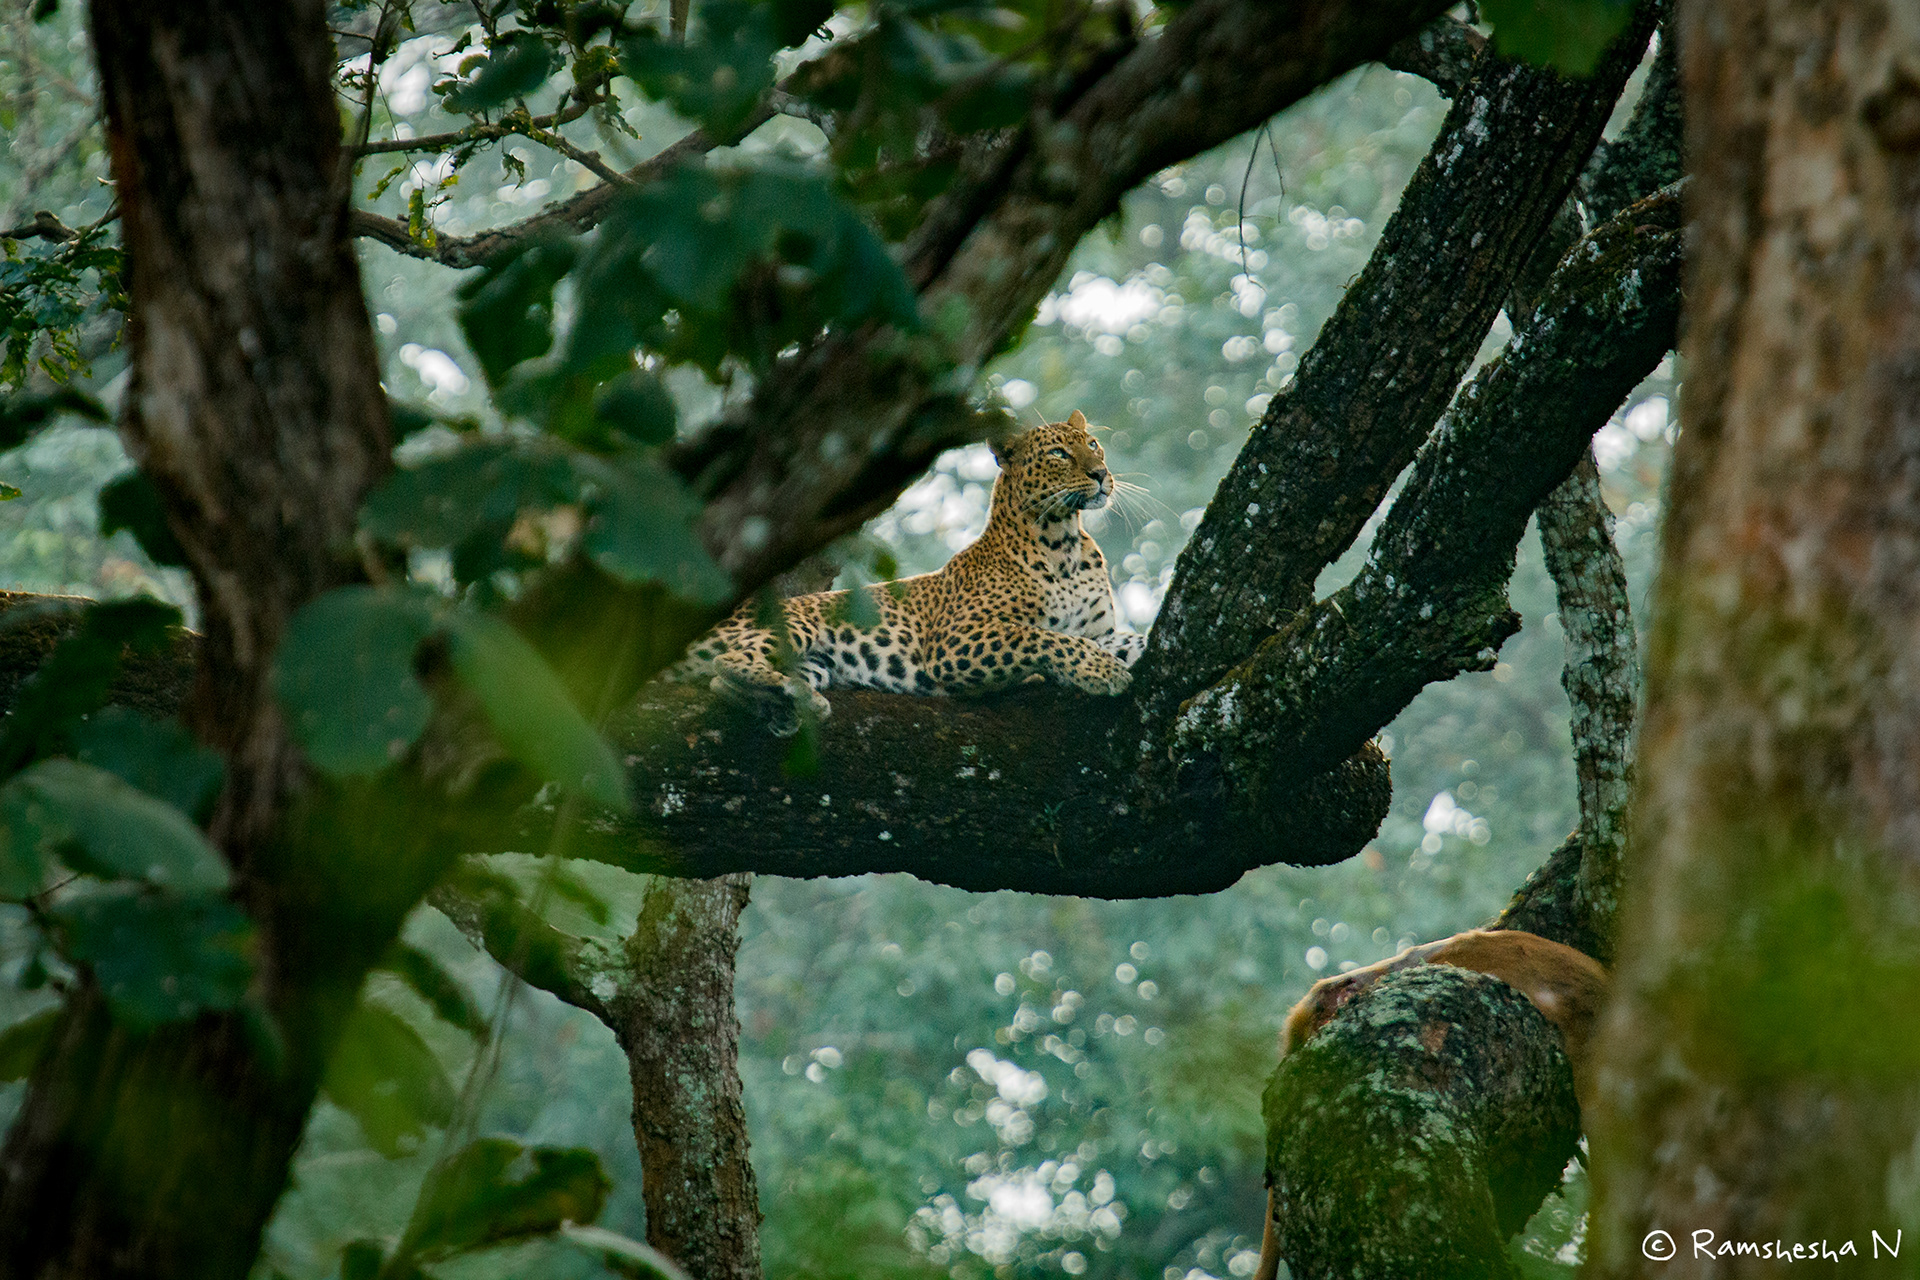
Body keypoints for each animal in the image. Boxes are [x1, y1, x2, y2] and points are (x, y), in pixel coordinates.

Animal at [673, 410, 1148, 734]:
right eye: (1058, 453)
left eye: (1093, 444)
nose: (1101, 474)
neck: (1062, 543)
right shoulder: (957, 638)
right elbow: (1044, 637)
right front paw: (1102, 672)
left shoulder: (1099, 632)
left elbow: (1125, 641)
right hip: (795, 625)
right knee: (729, 660)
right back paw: (792, 697)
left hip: (817, 661)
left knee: (721, 682)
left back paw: (789, 705)